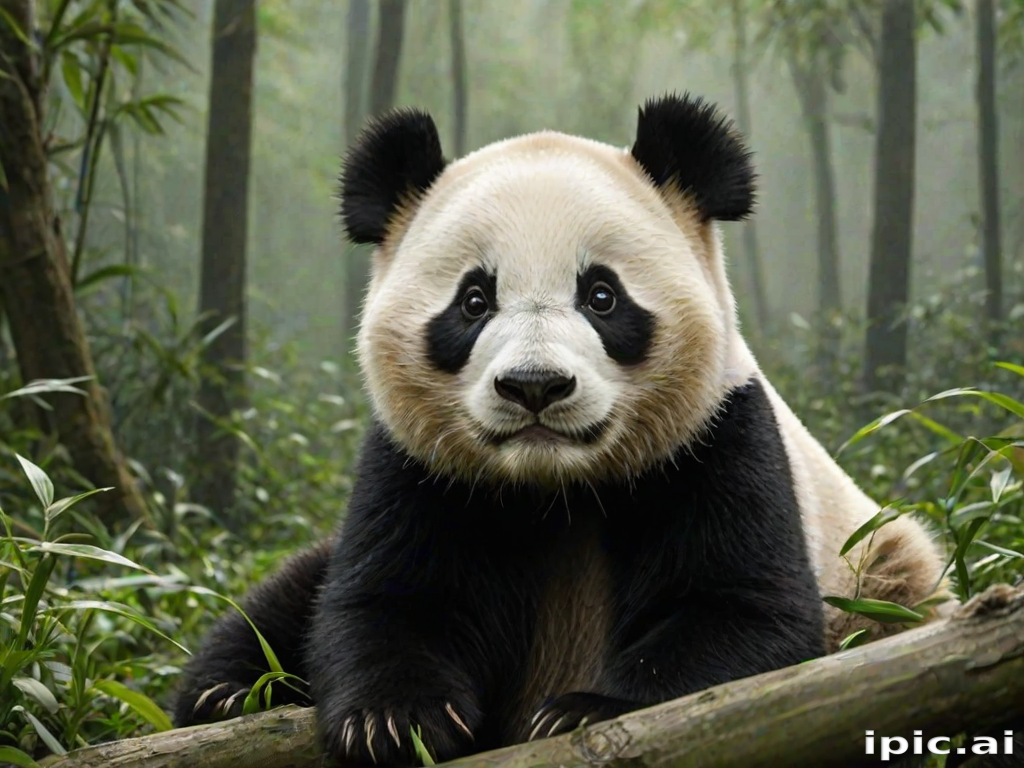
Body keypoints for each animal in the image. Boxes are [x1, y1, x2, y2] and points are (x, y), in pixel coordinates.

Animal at [172, 93, 950, 766]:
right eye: (474, 301)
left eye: (602, 296)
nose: (535, 386)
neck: (556, 487)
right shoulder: (418, 468)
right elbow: (385, 601)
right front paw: (393, 722)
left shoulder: (719, 437)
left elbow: (745, 615)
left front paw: (583, 710)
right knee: (290, 594)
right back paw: (232, 693)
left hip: (884, 572)